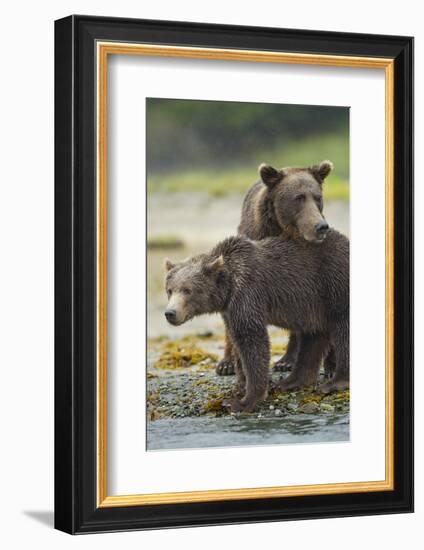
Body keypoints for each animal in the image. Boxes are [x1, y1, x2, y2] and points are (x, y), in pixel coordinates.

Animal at [165, 230, 348, 414]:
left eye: (188, 290)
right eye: (170, 290)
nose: (170, 313)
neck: (228, 287)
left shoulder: (248, 293)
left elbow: (252, 341)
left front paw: (245, 401)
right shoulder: (229, 310)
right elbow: (238, 342)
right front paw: (241, 384)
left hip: (332, 281)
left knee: (342, 328)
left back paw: (335, 382)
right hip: (313, 304)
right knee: (313, 337)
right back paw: (292, 381)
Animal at [217, 160, 336, 380]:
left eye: (318, 197)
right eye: (298, 197)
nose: (321, 226)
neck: (284, 231)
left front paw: (331, 366)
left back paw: (286, 360)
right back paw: (226, 364)